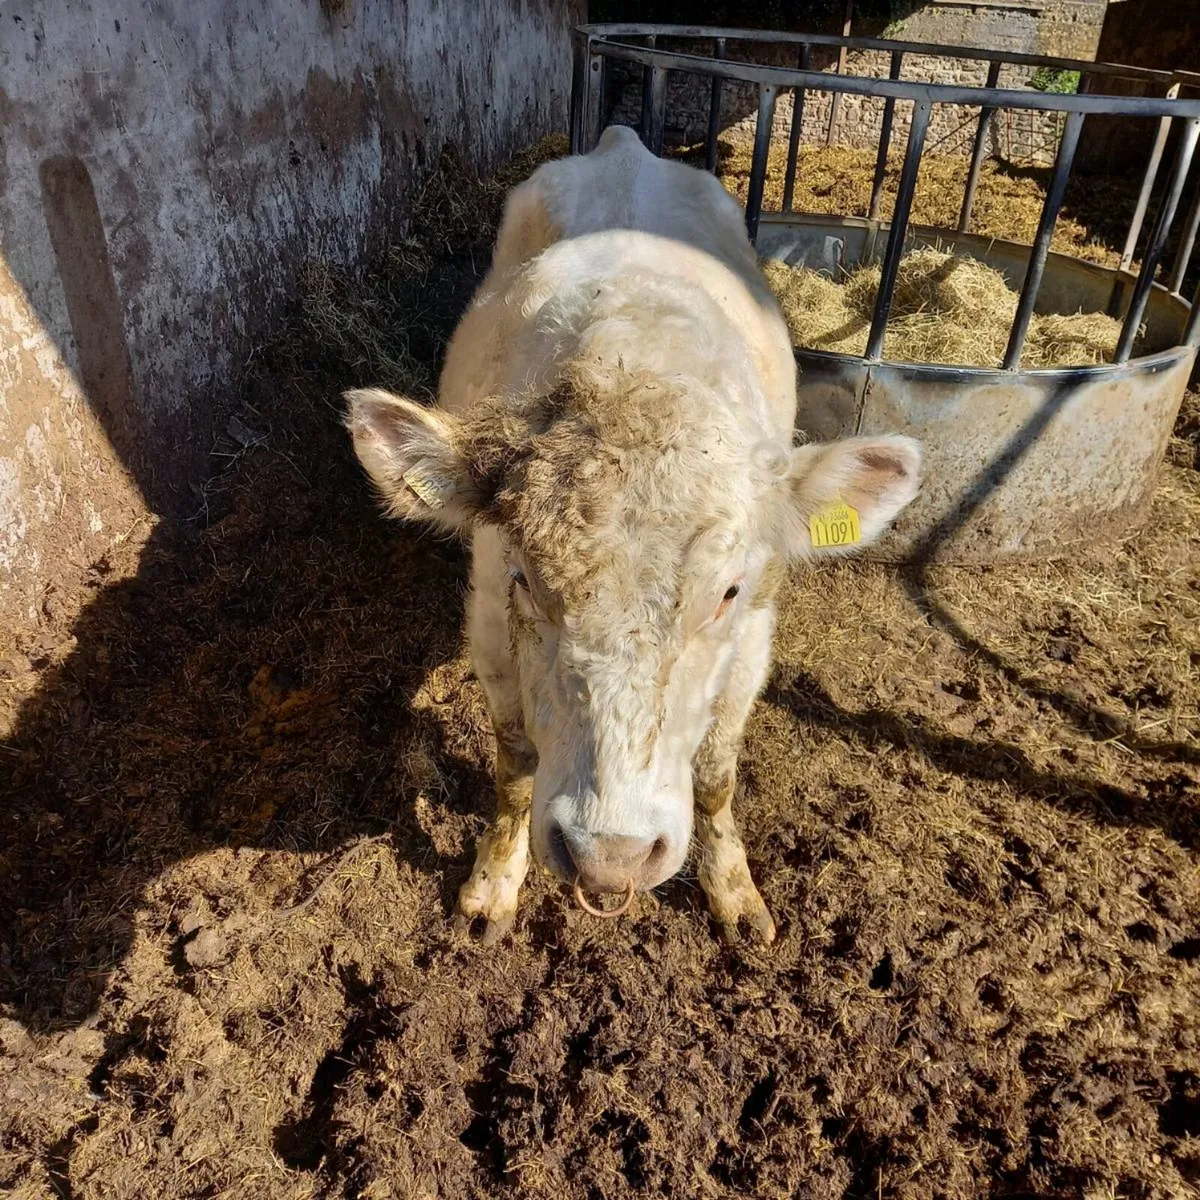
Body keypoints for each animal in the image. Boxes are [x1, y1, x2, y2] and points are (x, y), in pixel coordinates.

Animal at [345, 125, 920, 944]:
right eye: (526, 580)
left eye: (728, 592)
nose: (608, 854)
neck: (637, 368)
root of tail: (625, 143)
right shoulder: (486, 618)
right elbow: (514, 761)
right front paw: (491, 890)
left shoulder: (755, 637)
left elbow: (715, 775)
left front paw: (736, 896)